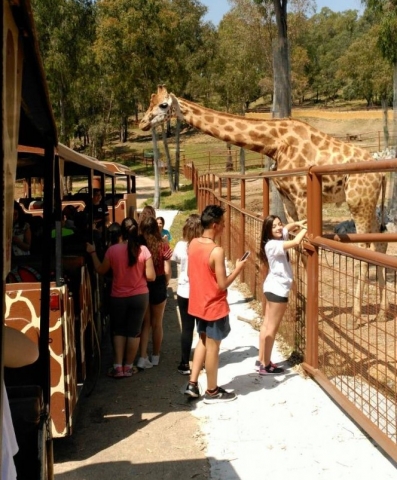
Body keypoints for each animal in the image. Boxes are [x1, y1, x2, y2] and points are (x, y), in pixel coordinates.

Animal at [141, 86, 388, 326]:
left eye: (163, 105)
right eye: (151, 102)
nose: (143, 122)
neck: (275, 143)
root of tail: (382, 174)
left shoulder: (302, 195)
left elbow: (305, 247)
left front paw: (308, 312)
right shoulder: (288, 198)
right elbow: (293, 245)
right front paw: (297, 309)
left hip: (358, 201)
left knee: (365, 248)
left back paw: (356, 317)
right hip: (370, 203)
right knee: (380, 243)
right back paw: (382, 313)